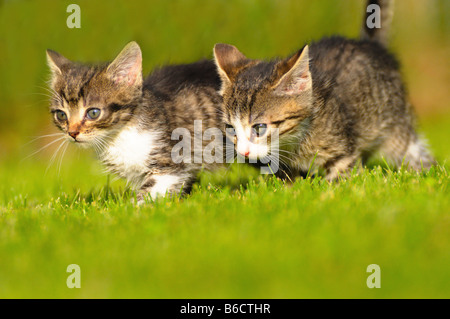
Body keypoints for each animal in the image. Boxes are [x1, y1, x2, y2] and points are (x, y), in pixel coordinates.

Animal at [47, 42, 223, 202]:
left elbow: (150, 192)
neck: (118, 137)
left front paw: (129, 210)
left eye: (93, 113)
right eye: (61, 115)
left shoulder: (171, 162)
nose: (72, 133)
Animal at [214, 0, 436, 181]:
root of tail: (369, 44)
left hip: (397, 125)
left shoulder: (343, 149)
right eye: (231, 128)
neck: (294, 141)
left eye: (259, 127)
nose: (243, 153)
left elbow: (341, 178)